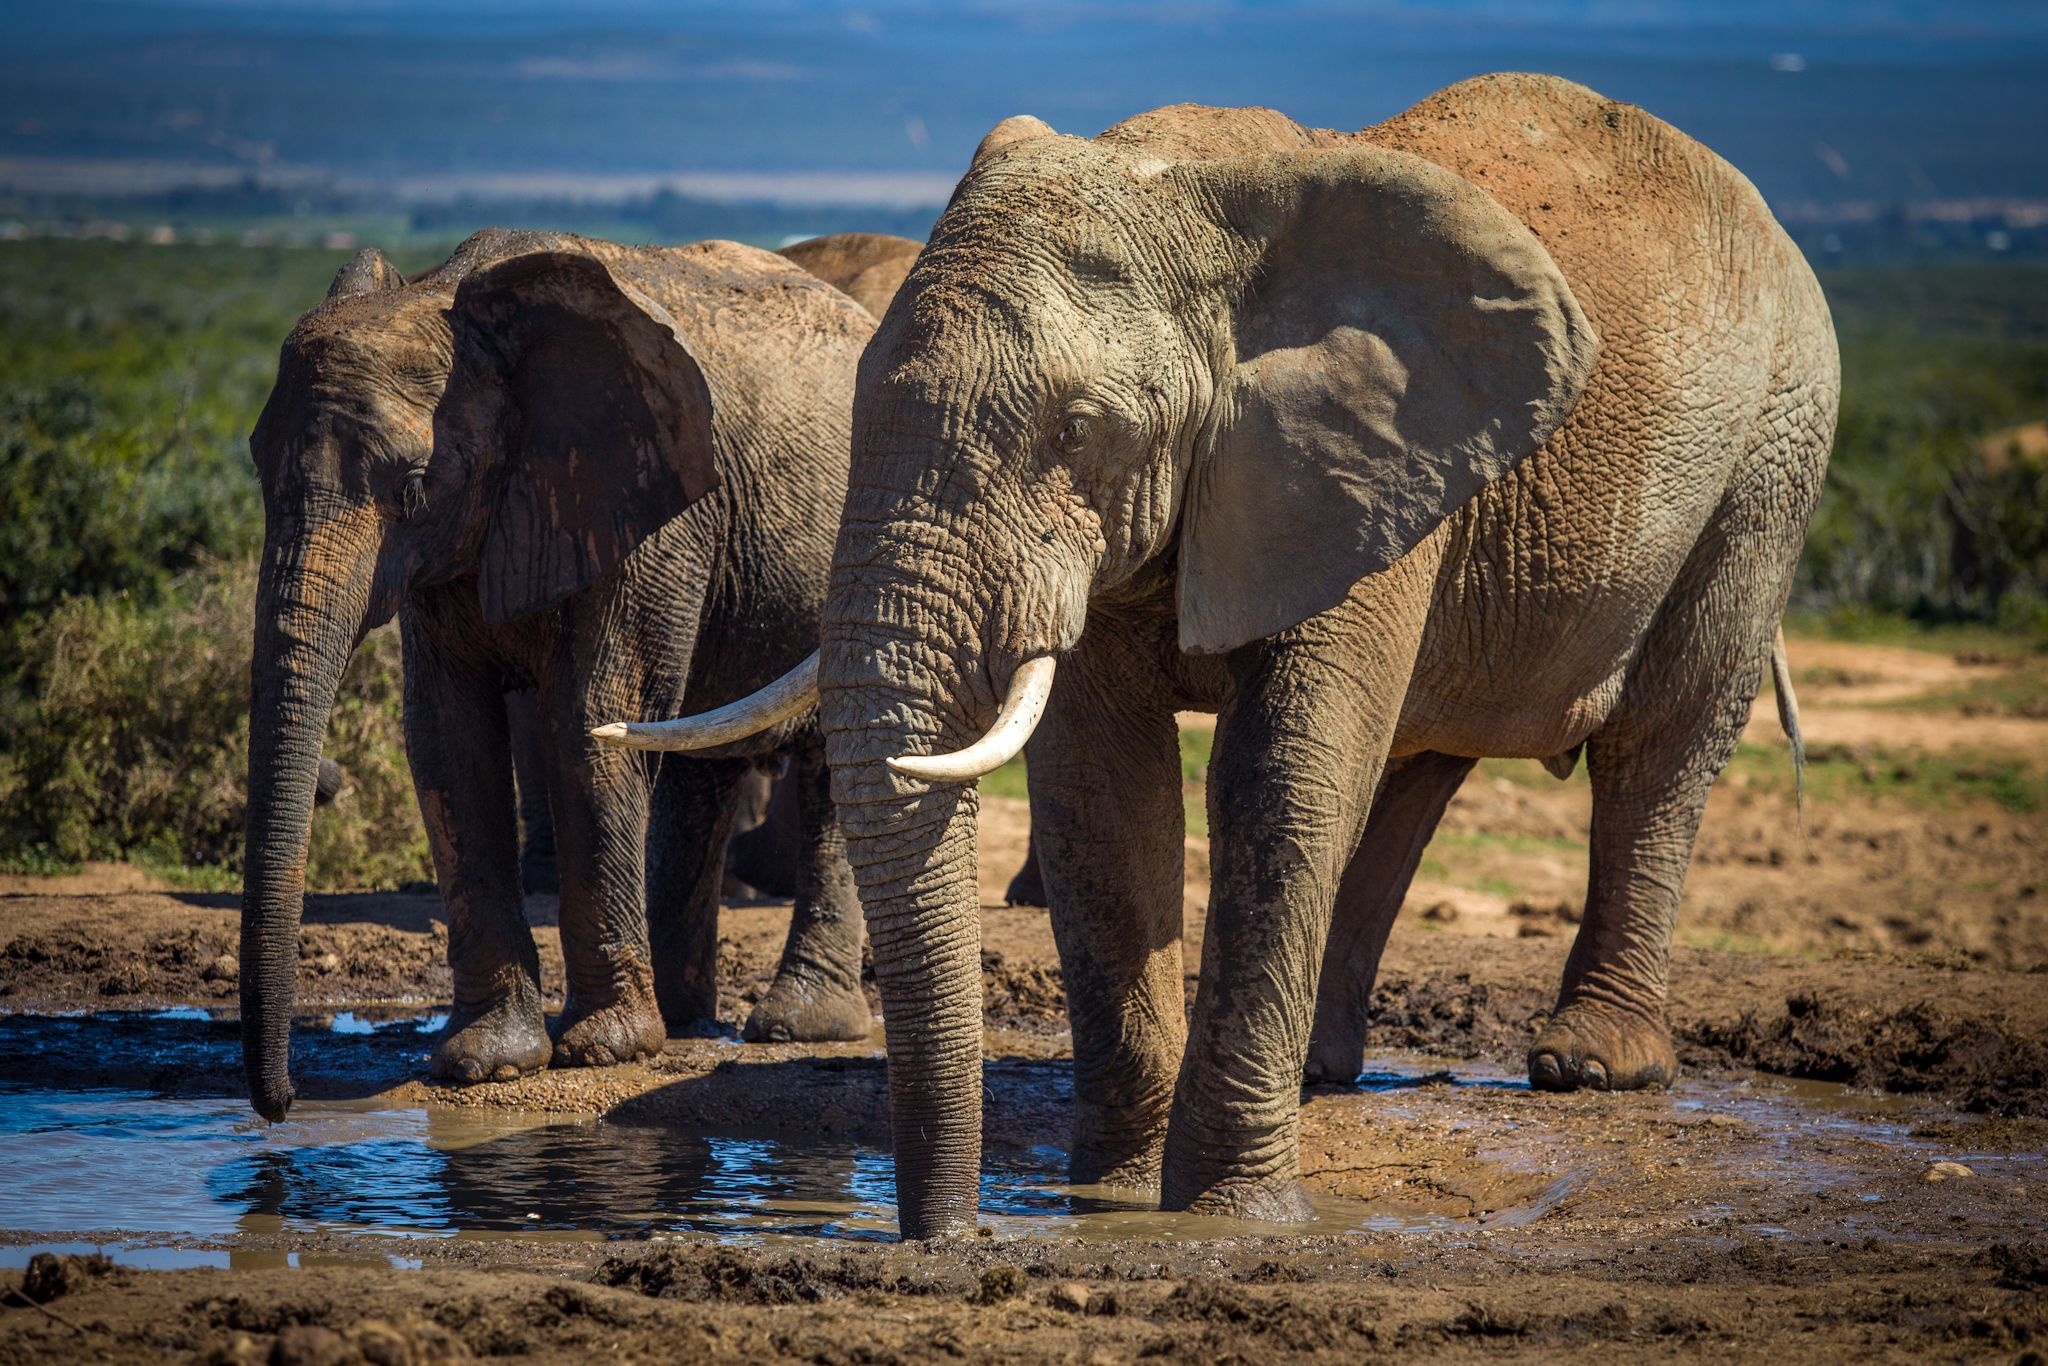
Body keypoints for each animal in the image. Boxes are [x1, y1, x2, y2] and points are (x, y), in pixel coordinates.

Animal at [598, 80, 1835, 1245]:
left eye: (1076, 431)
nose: (946, 1238)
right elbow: (1102, 794)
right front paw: (1107, 1200)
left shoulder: (1351, 463)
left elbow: (1275, 780)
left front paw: (1227, 1214)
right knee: (1413, 770)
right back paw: (1321, 1072)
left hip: (1770, 459)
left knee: (1658, 745)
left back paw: (1588, 1064)